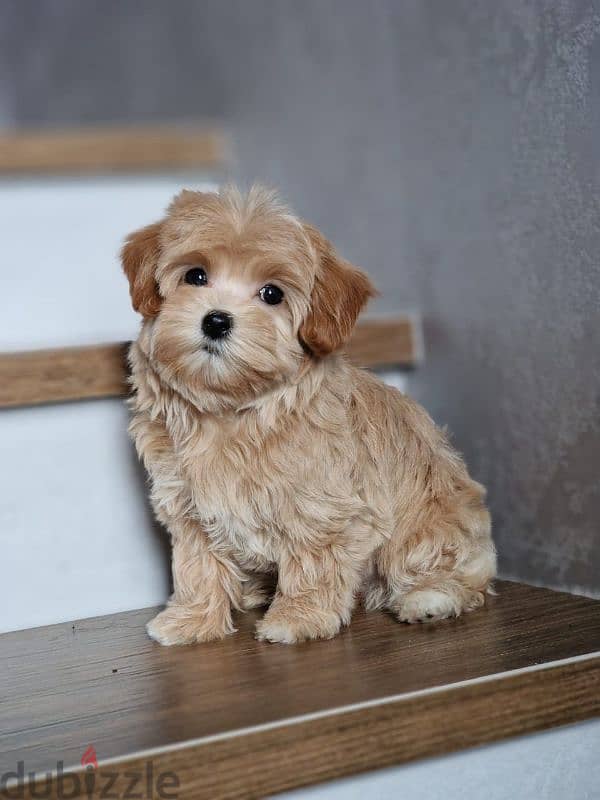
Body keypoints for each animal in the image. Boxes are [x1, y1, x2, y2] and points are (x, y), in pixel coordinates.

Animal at [122, 186, 496, 644]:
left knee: (457, 575)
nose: (216, 321)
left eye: (272, 294)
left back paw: (428, 600)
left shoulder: (321, 507)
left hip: (429, 528)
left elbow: (312, 561)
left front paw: (297, 618)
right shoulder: (188, 505)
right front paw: (192, 619)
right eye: (195, 276)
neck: (232, 409)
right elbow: (198, 565)